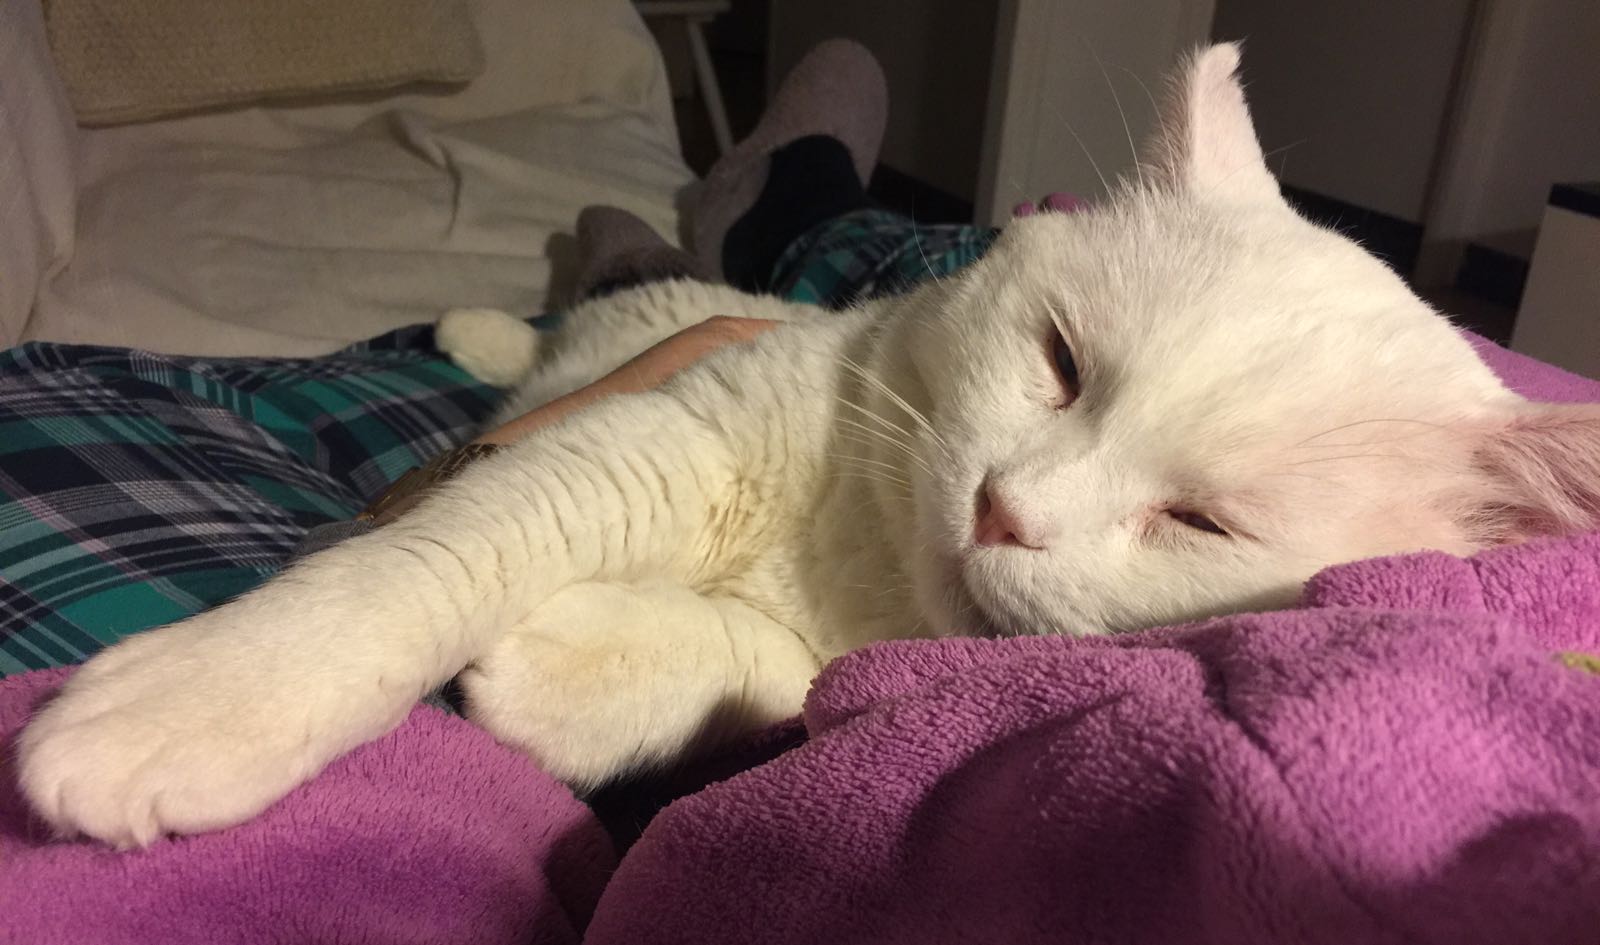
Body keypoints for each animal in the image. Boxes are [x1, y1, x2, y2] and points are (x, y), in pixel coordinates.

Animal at [19, 44, 1600, 848]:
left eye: (1205, 524)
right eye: (1060, 363)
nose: (1007, 510)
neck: (851, 563)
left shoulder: (855, 662)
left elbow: (777, 676)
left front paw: (580, 673)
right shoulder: (656, 439)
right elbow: (436, 560)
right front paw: (223, 692)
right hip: (642, 330)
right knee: (579, 313)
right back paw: (485, 323)